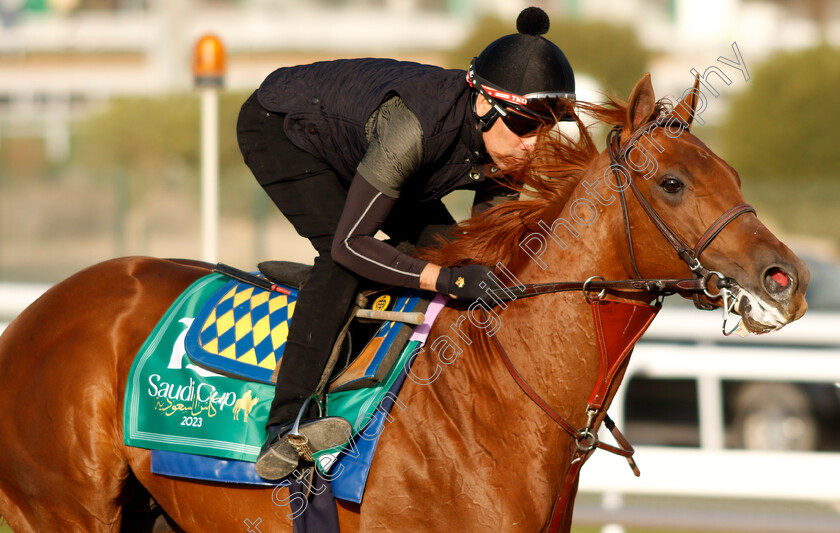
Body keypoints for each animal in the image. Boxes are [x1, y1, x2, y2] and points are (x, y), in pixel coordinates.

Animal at [0, 76, 808, 532]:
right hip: (63, 512)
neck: (496, 400)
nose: (787, 278)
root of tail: (30, 319)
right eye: (672, 183)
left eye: (734, 175)